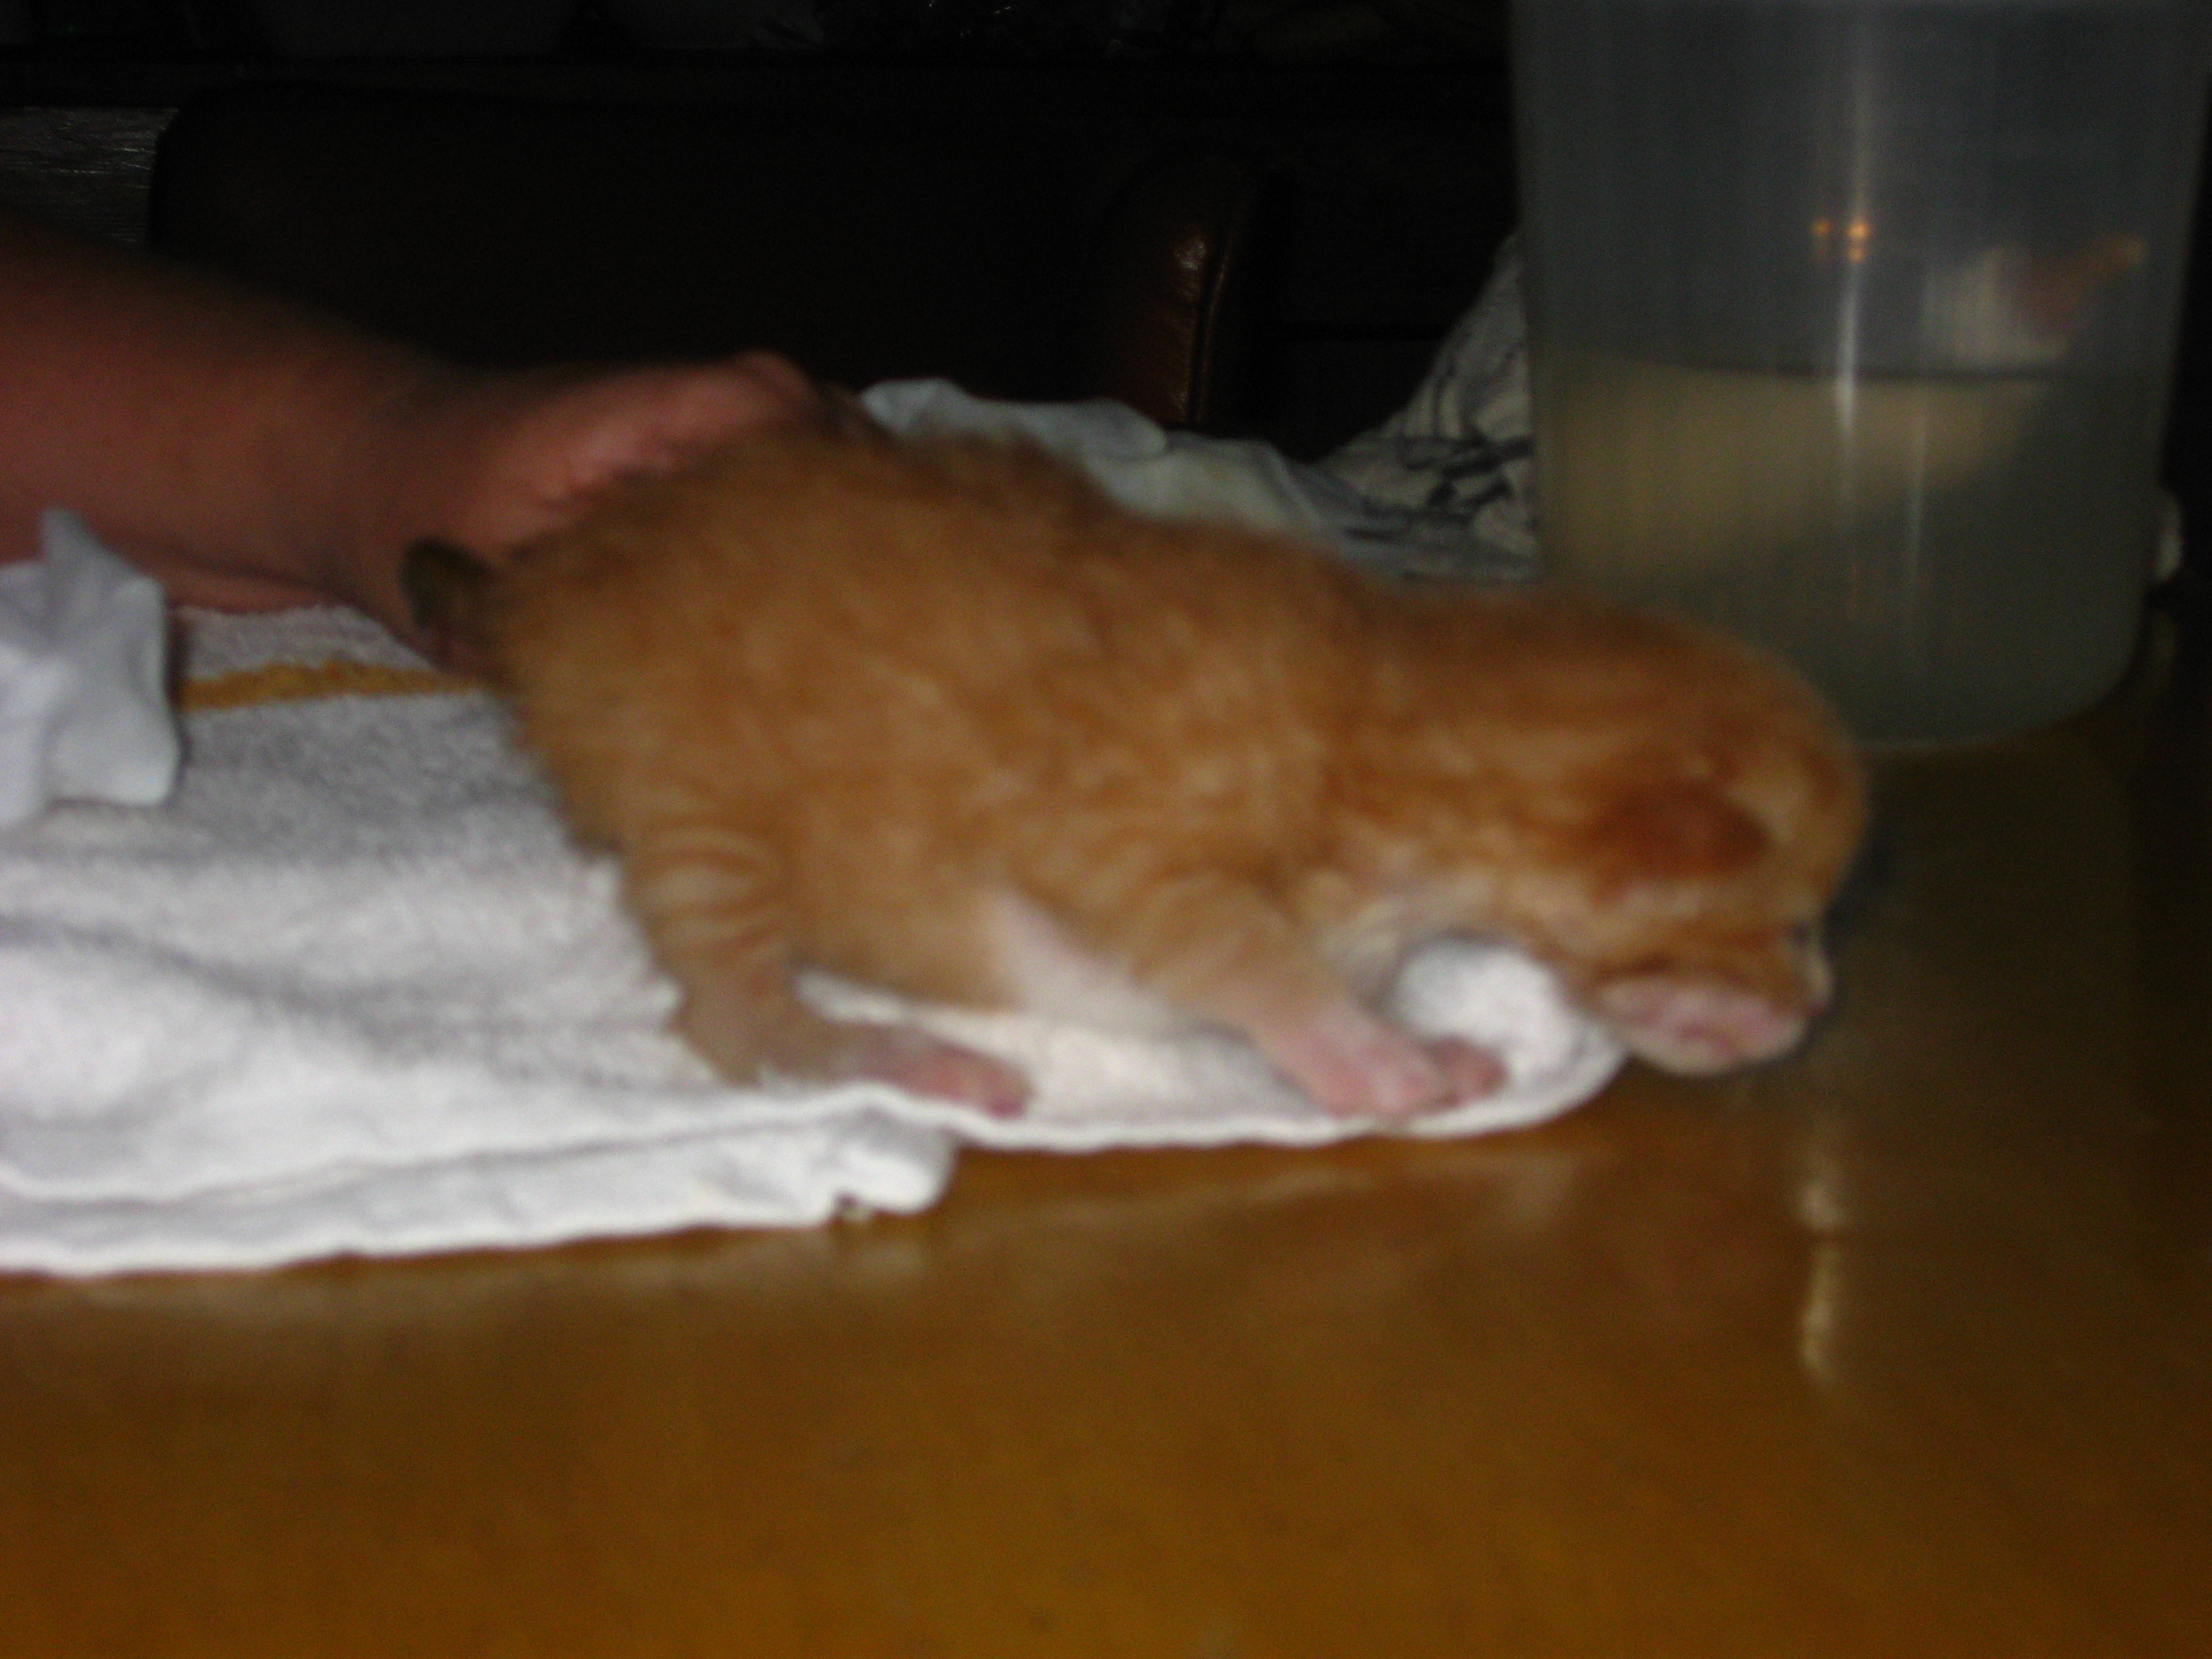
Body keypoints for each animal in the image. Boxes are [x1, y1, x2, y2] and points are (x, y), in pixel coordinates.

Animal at [406, 427, 1866, 1119]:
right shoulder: (1108, 837)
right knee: (727, 1013)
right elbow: (1246, 952)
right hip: (703, 817)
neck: (1391, 705)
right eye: (1799, 923)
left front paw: (1422, 1037)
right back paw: (900, 1054)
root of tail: (542, 584)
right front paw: (1370, 1057)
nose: (1819, 1010)